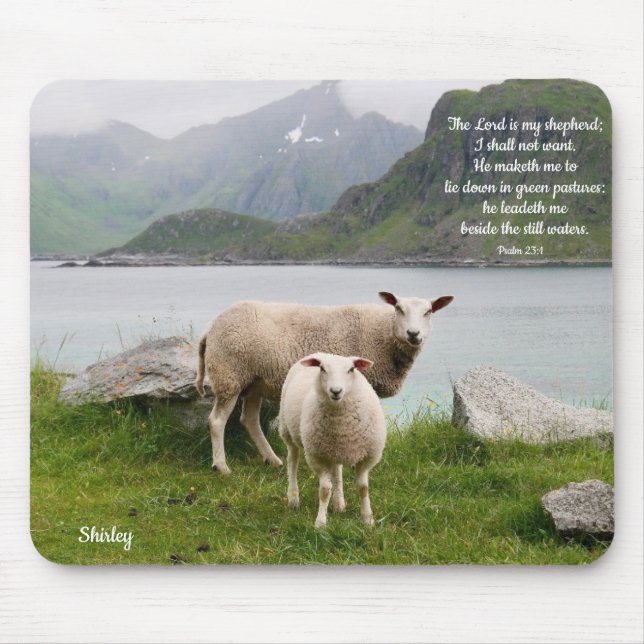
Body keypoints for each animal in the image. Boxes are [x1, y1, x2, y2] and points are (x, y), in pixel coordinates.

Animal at [196, 291, 453, 474]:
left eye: (429, 312)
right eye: (399, 309)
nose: (413, 334)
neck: (383, 333)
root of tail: (211, 327)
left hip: (253, 382)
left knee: (249, 420)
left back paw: (273, 460)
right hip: (229, 375)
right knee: (217, 421)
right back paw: (222, 467)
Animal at [278, 352, 386, 528]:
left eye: (351, 369)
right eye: (322, 369)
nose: (336, 391)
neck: (341, 423)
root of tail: (319, 353)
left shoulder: (367, 457)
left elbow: (363, 488)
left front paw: (368, 519)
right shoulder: (318, 457)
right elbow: (324, 491)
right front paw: (320, 523)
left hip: (334, 449)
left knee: (337, 470)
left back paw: (338, 503)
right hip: (287, 430)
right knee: (292, 461)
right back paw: (293, 498)